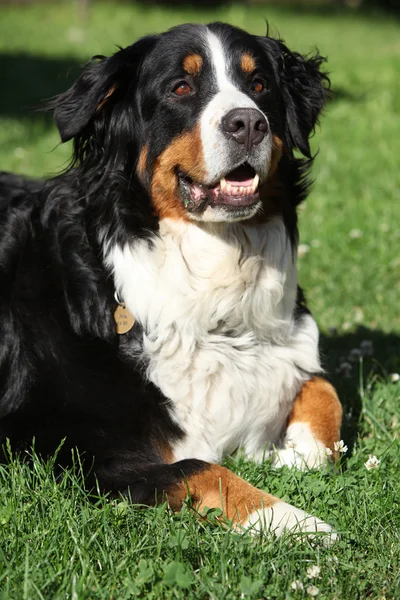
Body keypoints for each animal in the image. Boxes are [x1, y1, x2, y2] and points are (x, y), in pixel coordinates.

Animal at [1, 22, 342, 540]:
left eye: (259, 84)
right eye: (180, 88)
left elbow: (325, 394)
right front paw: (296, 521)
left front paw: (297, 452)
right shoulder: (70, 447)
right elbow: (201, 468)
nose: (248, 122)